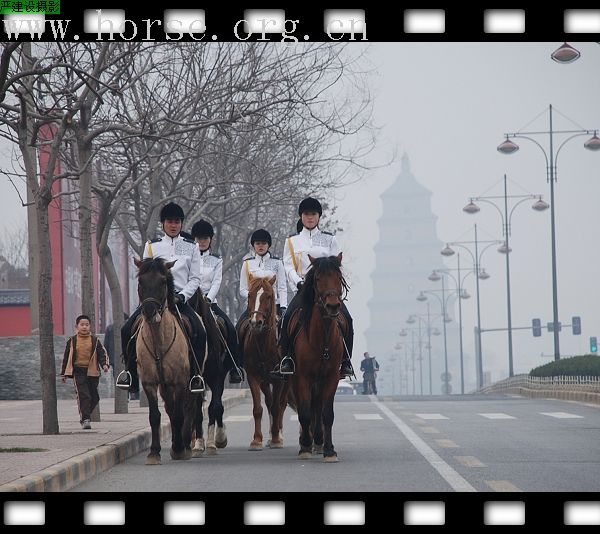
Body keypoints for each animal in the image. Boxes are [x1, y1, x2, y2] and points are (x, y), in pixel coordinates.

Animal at [134, 258, 197, 464]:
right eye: (140, 282)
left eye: (163, 282)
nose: (149, 311)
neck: (158, 343)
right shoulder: (150, 382)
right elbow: (155, 416)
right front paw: (154, 452)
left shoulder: (180, 382)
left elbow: (178, 415)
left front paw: (178, 448)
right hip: (165, 386)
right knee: (170, 408)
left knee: (189, 408)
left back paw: (186, 445)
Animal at [237, 276, 286, 452]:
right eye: (249, 295)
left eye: (269, 296)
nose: (256, 322)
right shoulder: (253, 377)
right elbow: (258, 408)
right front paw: (257, 440)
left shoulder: (279, 379)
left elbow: (277, 407)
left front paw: (277, 439)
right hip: (265, 381)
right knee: (270, 402)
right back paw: (271, 435)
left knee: (281, 404)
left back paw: (278, 435)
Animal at [288, 253, 350, 462]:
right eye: (317, 278)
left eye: (338, 277)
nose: (332, 306)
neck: (322, 338)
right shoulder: (302, 377)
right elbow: (305, 413)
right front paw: (305, 447)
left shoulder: (331, 377)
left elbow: (327, 414)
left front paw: (329, 450)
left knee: (317, 407)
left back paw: (319, 440)